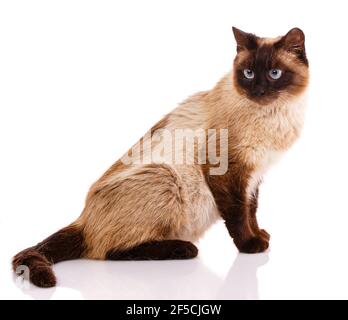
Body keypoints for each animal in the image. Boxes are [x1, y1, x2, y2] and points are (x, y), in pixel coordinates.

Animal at [12, 27, 310, 288]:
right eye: (248, 73)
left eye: (274, 73)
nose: (259, 92)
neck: (274, 116)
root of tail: (83, 220)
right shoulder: (229, 172)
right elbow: (238, 216)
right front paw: (251, 246)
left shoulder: (254, 176)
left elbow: (251, 211)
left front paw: (260, 235)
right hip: (164, 176)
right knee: (109, 252)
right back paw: (184, 249)